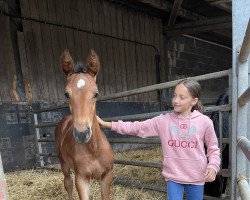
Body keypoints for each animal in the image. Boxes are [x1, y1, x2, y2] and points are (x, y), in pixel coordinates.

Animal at [54, 49, 114, 199]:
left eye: (96, 93)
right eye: (66, 94)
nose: (82, 134)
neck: (94, 149)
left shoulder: (107, 176)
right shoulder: (81, 179)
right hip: (64, 163)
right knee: (68, 184)